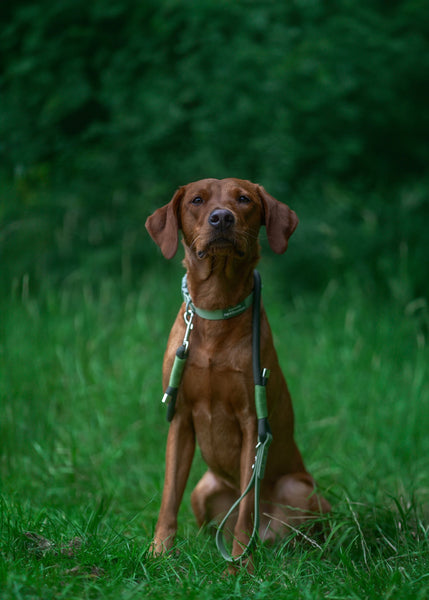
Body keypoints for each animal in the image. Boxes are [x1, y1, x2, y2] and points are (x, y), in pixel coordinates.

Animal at [145, 176, 330, 560]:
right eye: (197, 200)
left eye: (244, 200)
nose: (222, 218)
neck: (216, 308)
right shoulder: (180, 417)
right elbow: (169, 497)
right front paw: (159, 553)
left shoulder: (251, 425)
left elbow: (246, 511)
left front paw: (238, 566)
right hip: (203, 488)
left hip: (298, 489)